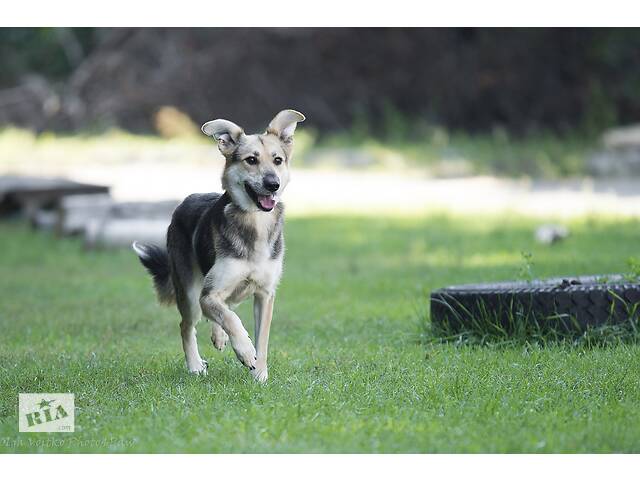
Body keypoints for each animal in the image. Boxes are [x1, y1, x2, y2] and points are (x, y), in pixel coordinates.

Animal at [132, 109, 304, 382]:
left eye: (278, 160)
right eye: (251, 160)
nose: (273, 184)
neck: (256, 223)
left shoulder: (265, 295)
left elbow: (262, 339)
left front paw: (260, 374)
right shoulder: (208, 296)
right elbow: (231, 319)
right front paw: (245, 351)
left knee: (223, 309)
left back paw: (219, 336)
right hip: (191, 293)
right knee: (188, 324)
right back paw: (194, 365)